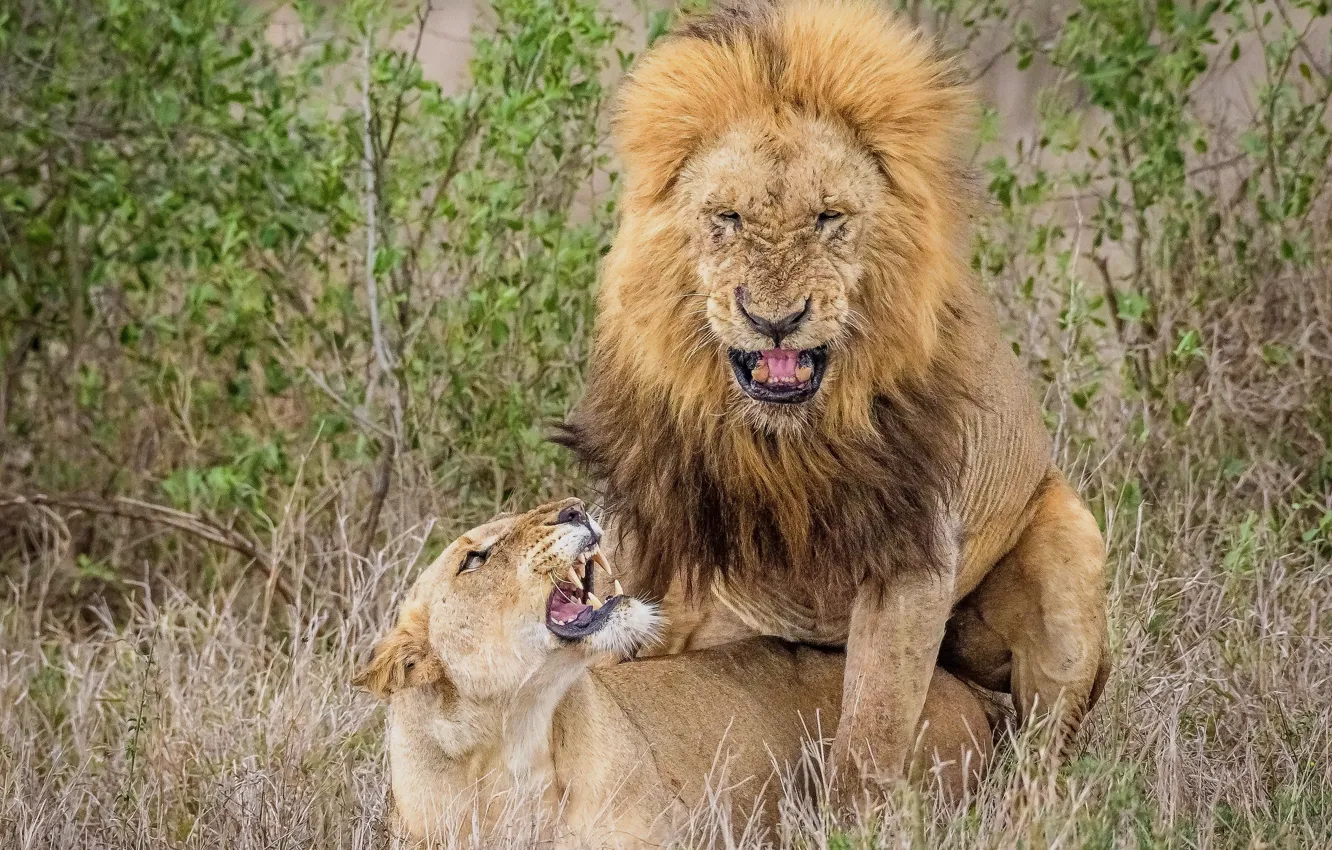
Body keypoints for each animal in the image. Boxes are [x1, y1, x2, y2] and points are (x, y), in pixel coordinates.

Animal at [556, 0, 1110, 791]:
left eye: (828, 217)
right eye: (726, 217)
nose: (774, 319)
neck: (788, 444)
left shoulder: (912, 555)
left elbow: (872, 727)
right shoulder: (656, 523)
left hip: (1070, 553)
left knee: (1042, 748)